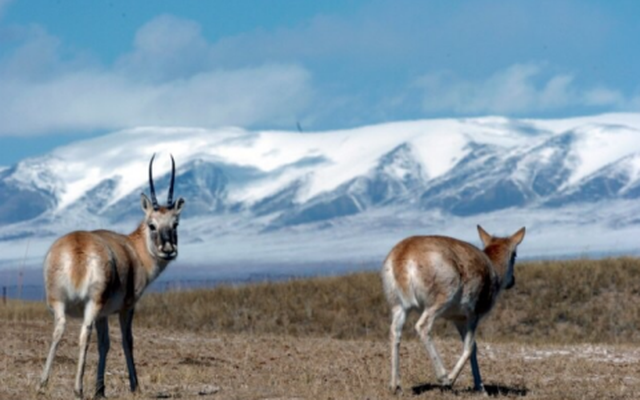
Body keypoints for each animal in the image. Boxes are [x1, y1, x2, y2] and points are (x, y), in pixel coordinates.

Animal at [38, 155, 185, 398]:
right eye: (152, 224)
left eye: (175, 223)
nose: (168, 250)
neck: (134, 250)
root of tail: (78, 245)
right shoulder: (127, 307)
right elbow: (127, 341)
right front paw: (134, 385)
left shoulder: (104, 314)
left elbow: (104, 344)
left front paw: (100, 389)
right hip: (92, 304)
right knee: (84, 334)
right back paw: (77, 388)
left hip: (58, 303)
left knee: (58, 331)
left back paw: (42, 384)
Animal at [380, 227, 524, 392]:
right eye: (515, 254)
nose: (513, 280)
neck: (492, 268)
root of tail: (404, 253)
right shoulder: (473, 316)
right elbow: (469, 347)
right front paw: (451, 380)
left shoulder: (459, 320)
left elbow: (473, 347)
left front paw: (480, 388)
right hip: (437, 303)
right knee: (422, 326)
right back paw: (444, 376)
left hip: (400, 308)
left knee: (394, 332)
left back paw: (395, 385)